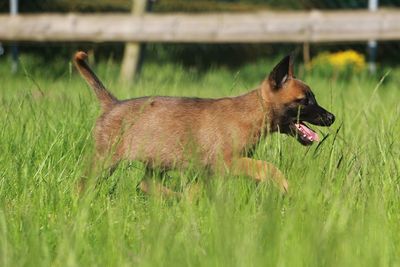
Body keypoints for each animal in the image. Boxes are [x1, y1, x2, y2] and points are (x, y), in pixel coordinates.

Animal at [74, 51, 334, 196]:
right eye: (304, 101)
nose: (332, 118)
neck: (251, 113)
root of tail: (112, 104)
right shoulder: (226, 162)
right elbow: (267, 167)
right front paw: (283, 186)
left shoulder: (209, 172)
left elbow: (196, 191)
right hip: (105, 160)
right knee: (83, 184)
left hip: (158, 161)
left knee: (145, 185)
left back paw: (171, 197)